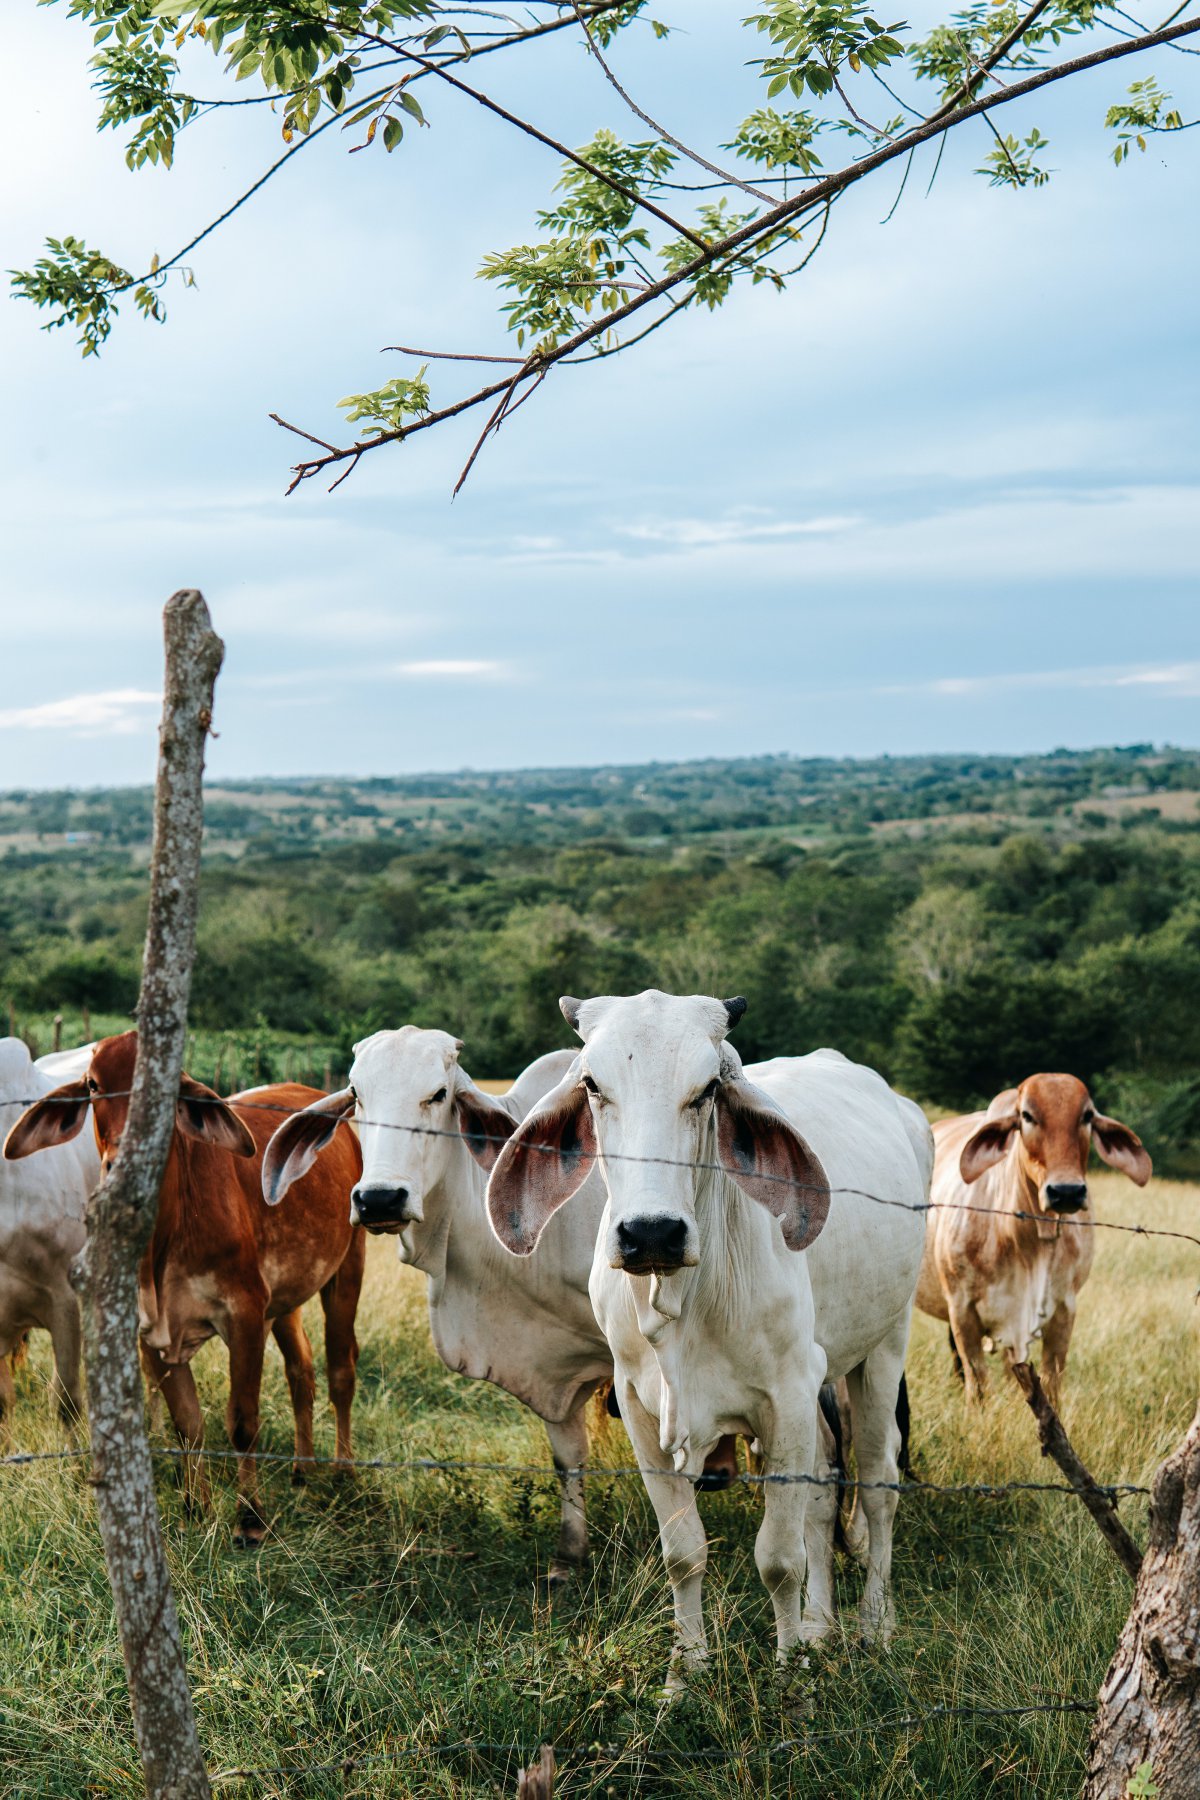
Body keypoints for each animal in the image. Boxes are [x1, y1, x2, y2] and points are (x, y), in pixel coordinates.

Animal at [264, 1036, 618, 1584]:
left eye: (439, 1094)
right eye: (356, 1094)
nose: (379, 1199)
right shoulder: (554, 1365)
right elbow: (568, 1456)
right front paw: (569, 1555)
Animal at [485, 993, 928, 1677]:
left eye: (708, 1089)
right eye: (592, 1085)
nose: (652, 1233)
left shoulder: (787, 1396)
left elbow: (779, 1559)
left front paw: (787, 1678)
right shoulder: (639, 1406)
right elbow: (684, 1551)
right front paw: (685, 1672)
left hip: (884, 1345)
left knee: (878, 1485)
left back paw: (874, 1625)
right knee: (826, 1490)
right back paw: (820, 1625)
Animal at [921, 1065, 1151, 1404]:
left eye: (1087, 1116)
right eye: (1026, 1115)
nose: (1066, 1191)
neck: (1028, 1241)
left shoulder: (1063, 1310)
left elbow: (1051, 1383)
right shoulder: (962, 1310)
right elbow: (977, 1385)